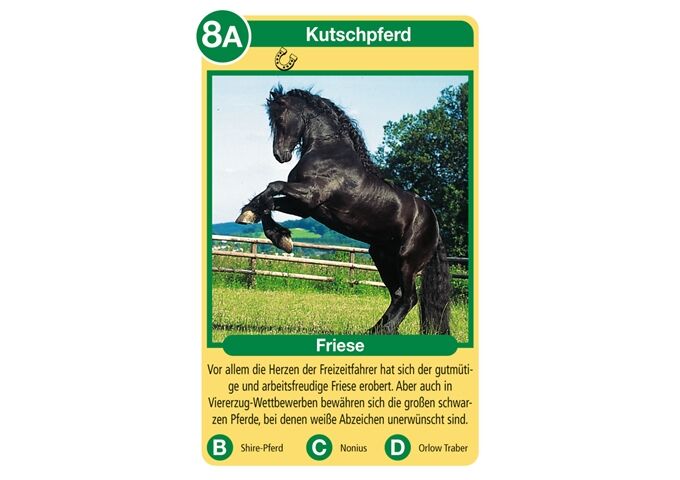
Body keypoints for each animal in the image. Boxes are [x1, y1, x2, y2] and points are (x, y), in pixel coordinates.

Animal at [235, 86, 451, 335]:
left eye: (279, 119)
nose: (281, 155)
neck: (327, 150)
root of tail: (435, 225)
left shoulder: (310, 196)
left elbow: (273, 187)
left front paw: (264, 226)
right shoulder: (305, 207)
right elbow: (269, 202)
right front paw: (270, 229)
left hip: (407, 261)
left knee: (409, 298)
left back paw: (385, 330)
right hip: (382, 256)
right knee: (397, 296)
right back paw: (375, 330)